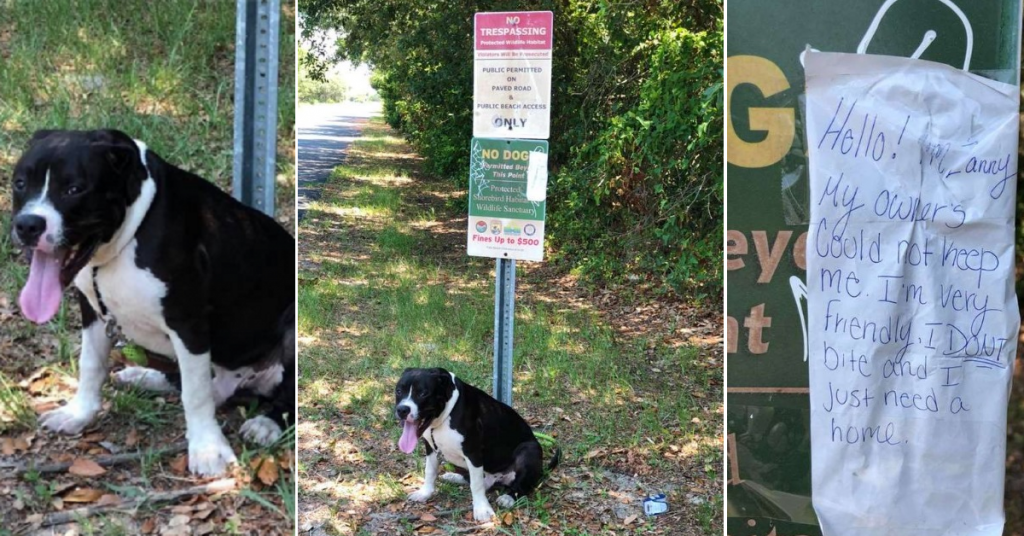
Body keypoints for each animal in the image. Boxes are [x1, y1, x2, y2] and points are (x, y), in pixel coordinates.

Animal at [9, 131, 294, 477]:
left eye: (74, 189)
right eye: (20, 183)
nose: (28, 225)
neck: (127, 235)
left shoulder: (188, 321)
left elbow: (195, 395)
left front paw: (207, 449)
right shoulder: (92, 311)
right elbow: (91, 364)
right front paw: (79, 413)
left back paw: (267, 423)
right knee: (204, 381)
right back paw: (148, 377)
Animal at [393, 366, 561, 522]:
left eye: (423, 394)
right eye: (398, 391)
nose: (402, 409)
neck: (444, 416)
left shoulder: (472, 452)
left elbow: (476, 484)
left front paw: (481, 509)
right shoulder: (430, 447)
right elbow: (430, 471)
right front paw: (425, 493)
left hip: (529, 449)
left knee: (520, 484)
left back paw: (508, 497)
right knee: (477, 479)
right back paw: (455, 477)